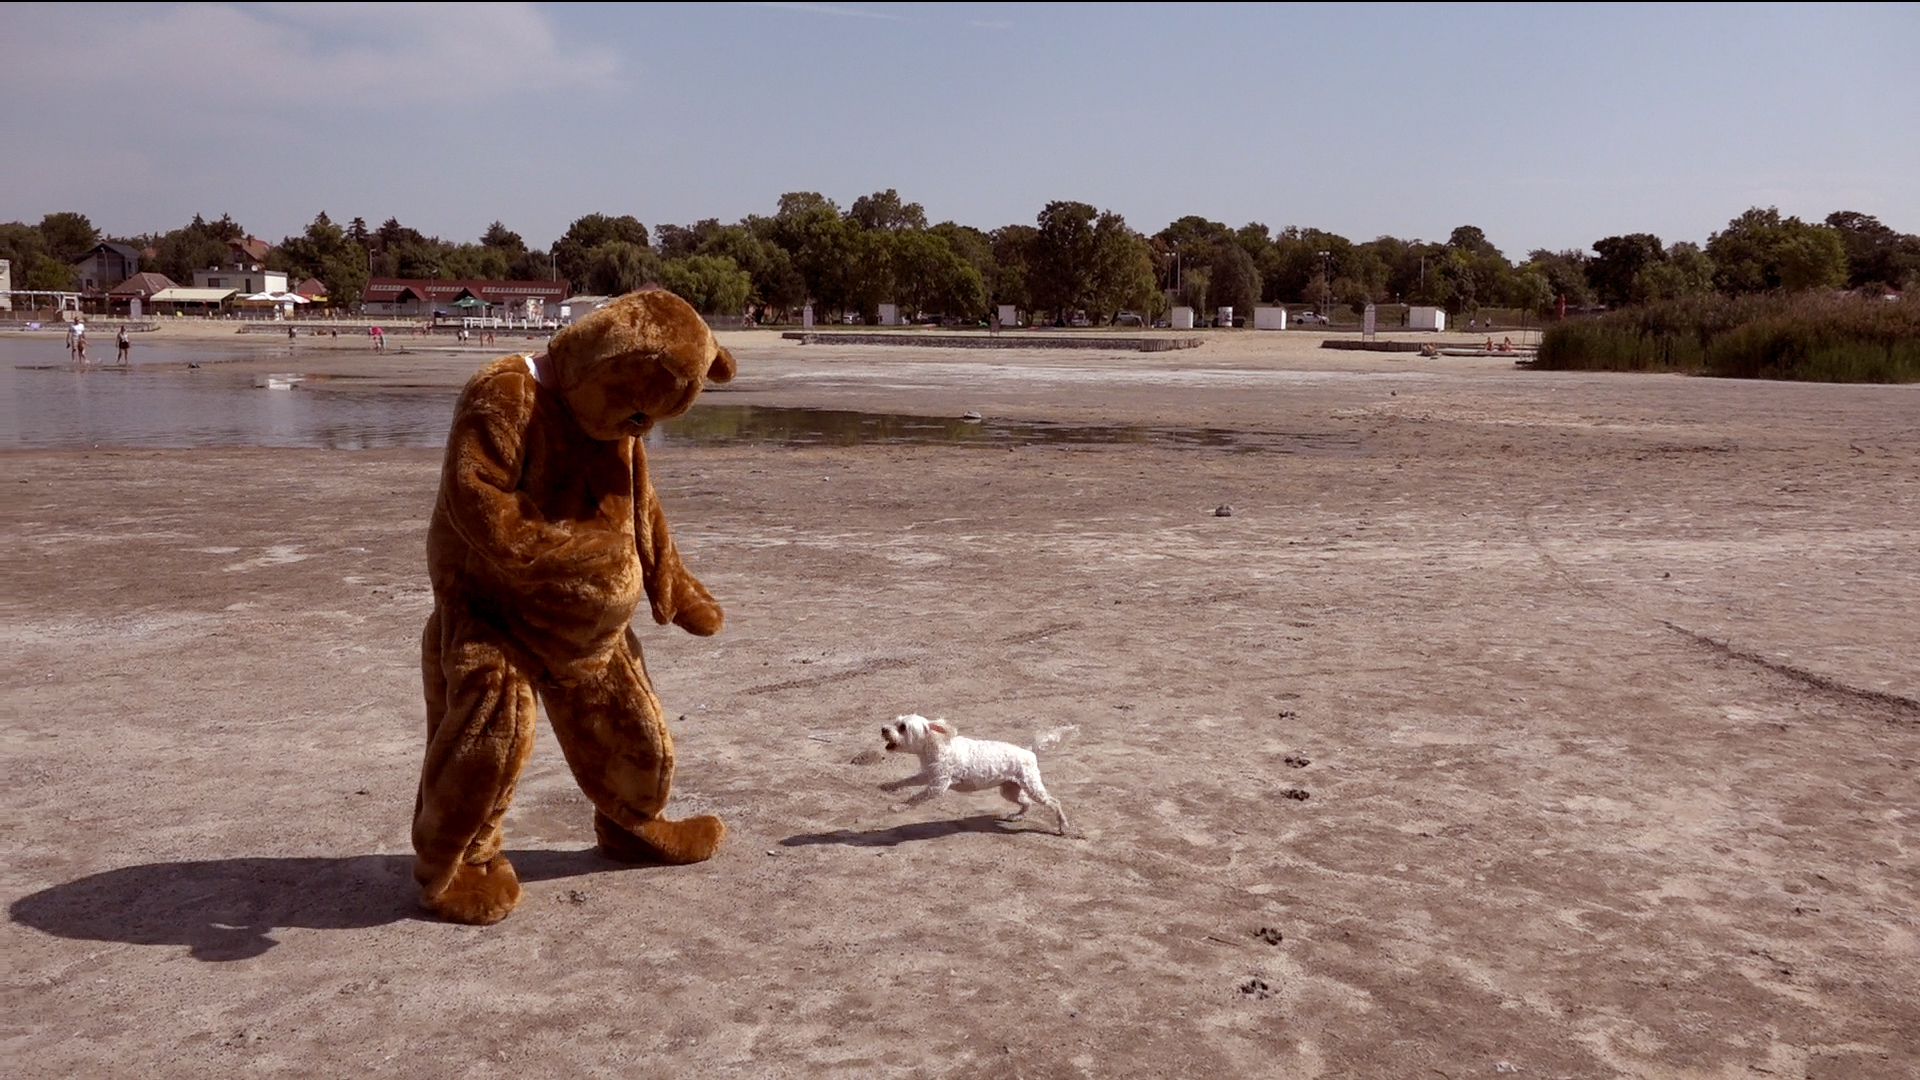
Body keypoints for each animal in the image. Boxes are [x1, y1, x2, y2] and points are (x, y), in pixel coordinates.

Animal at [879, 714, 1075, 834]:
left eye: (903, 727)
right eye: (895, 722)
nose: (883, 729)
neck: (937, 744)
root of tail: (1029, 751)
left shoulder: (938, 785)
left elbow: (915, 798)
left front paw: (898, 807)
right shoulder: (927, 775)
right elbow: (906, 781)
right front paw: (888, 787)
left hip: (1032, 785)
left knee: (1053, 802)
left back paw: (1063, 827)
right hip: (1009, 790)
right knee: (1026, 802)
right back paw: (1017, 816)